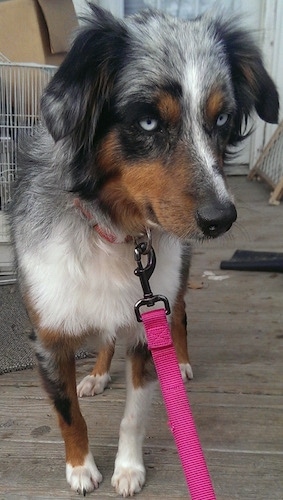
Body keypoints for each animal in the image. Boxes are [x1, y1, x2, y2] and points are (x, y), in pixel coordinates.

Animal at [11, 3, 280, 496]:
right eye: (149, 121)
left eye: (222, 121)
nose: (221, 219)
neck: (113, 230)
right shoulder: (49, 336)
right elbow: (68, 414)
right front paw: (81, 468)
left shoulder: (149, 320)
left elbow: (134, 416)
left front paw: (129, 469)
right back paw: (97, 375)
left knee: (182, 314)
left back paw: (183, 362)